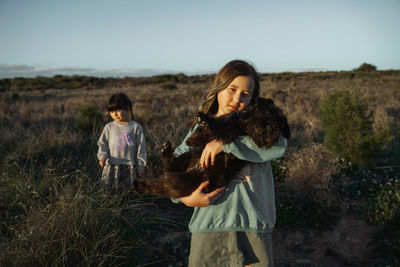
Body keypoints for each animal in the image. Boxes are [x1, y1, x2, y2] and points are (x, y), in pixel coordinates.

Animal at [134, 98, 290, 199]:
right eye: (269, 112)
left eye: (281, 122)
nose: (271, 128)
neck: (246, 125)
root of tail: (192, 170)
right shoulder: (230, 121)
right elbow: (208, 131)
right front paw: (193, 136)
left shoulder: (231, 131)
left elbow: (221, 128)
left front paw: (205, 121)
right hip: (187, 158)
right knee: (170, 166)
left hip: (186, 181)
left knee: (164, 183)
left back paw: (141, 184)